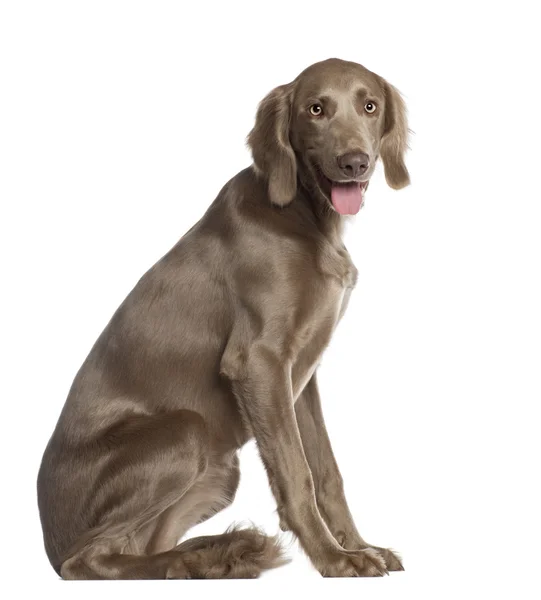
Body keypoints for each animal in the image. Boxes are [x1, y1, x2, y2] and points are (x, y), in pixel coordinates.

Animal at [38, 58, 410, 580]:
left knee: (137, 548)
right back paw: (197, 561)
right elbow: (297, 474)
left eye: (370, 105)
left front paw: (361, 545)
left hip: (218, 468)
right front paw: (335, 559)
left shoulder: (300, 374)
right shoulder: (258, 362)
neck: (304, 215)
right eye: (316, 109)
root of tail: (48, 542)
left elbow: (326, 471)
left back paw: (225, 553)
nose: (355, 162)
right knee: (89, 561)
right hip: (186, 431)